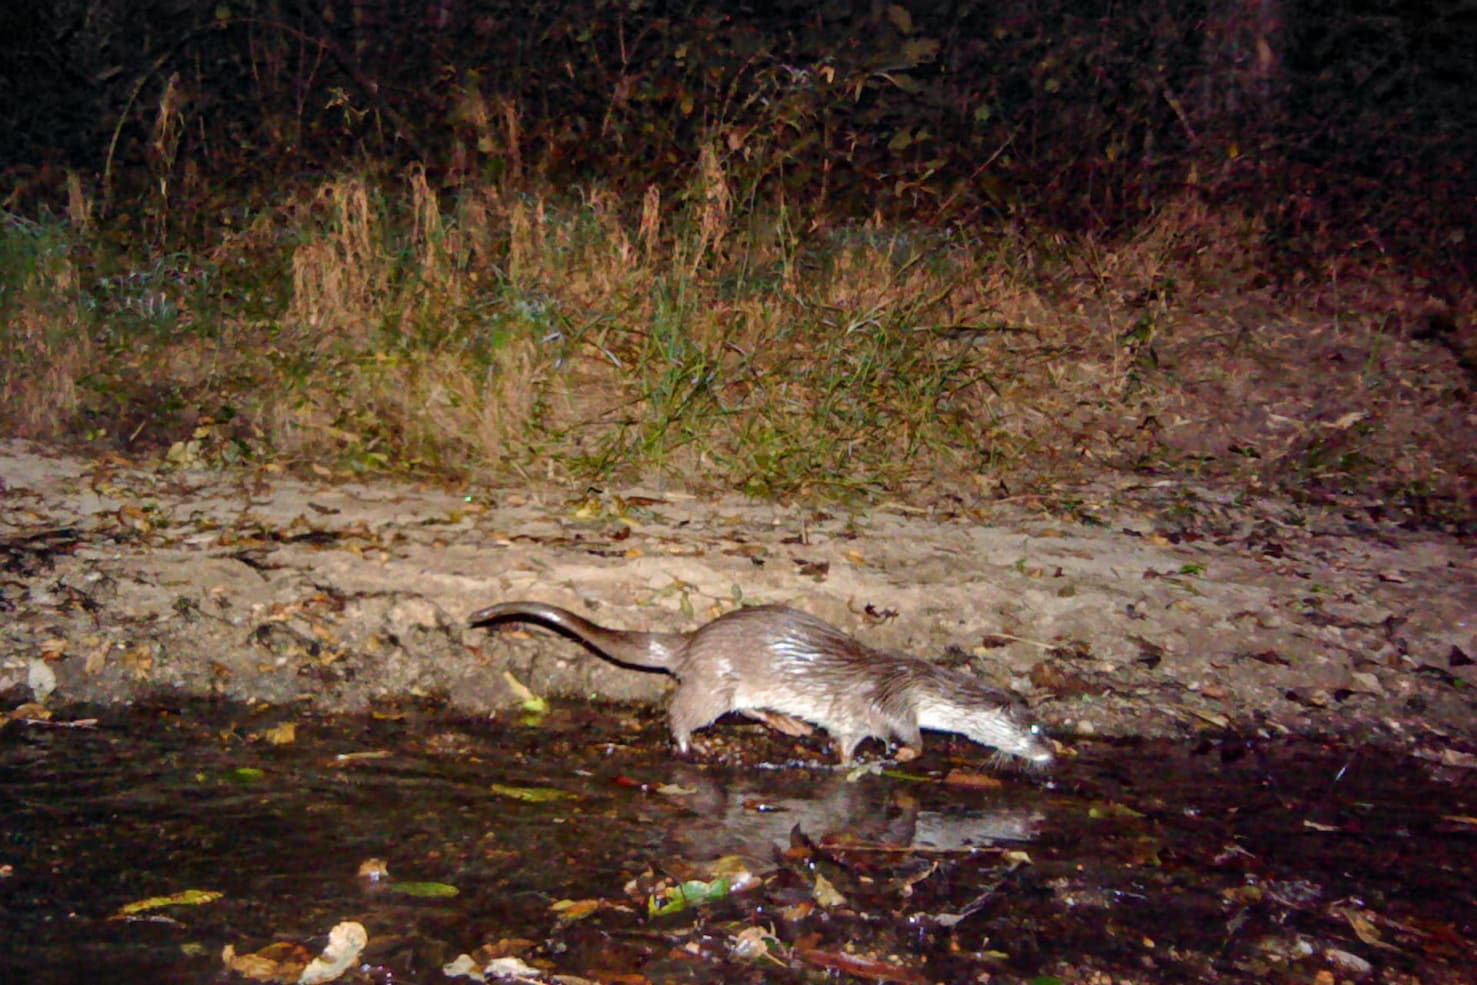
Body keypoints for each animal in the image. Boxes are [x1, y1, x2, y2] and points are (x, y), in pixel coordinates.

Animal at [468, 601, 1053, 767]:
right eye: (1036, 729)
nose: (1053, 754)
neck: (918, 684)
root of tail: (692, 641)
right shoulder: (888, 698)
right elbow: (902, 731)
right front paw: (906, 751)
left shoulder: (852, 718)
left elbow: (845, 740)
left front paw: (849, 762)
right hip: (714, 683)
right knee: (681, 712)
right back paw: (690, 748)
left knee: (745, 709)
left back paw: (788, 725)